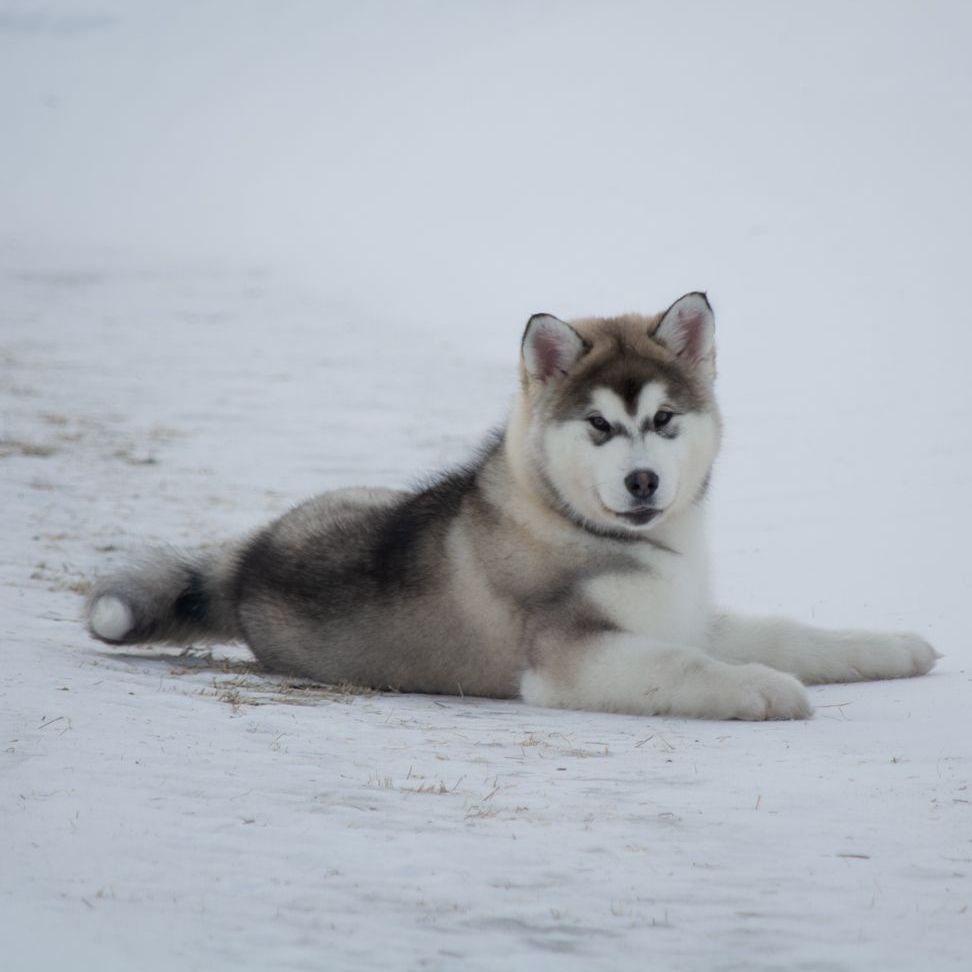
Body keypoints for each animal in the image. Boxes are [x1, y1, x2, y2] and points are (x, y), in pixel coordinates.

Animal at [87, 292, 936, 716]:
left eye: (664, 418)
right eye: (599, 425)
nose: (643, 482)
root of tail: (252, 556)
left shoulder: (687, 610)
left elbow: (793, 631)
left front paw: (890, 646)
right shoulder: (572, 657)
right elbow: (686, 664)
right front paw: (763, 686)